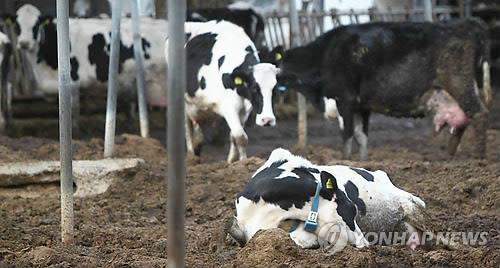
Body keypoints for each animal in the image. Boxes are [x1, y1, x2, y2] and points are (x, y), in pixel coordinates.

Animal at [165, 19, 280, 162]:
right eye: (254, 88)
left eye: (274, 88)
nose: (267, 120)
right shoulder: (228, 107)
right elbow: (240, 136)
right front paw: (244, 162)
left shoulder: (245, 109)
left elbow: (234, 136)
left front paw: (231, 162)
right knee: (186, 126)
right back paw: (192, 156)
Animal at [278, 19, 492, 161]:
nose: (278, 80)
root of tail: (468, 24)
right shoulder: (361, 105)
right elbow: (361, 136)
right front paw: (363, 161)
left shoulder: (345, 99)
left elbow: (347, 133)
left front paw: (345, 160)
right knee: (463, 119)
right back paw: (449, 157)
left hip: (459, 82)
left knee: (479, 114)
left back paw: (478, 158)